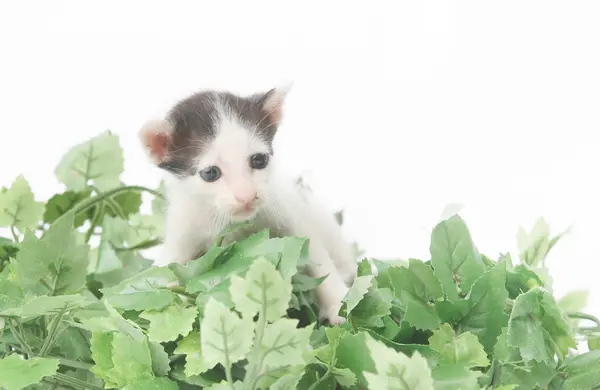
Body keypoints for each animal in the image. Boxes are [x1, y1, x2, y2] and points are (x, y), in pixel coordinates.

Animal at [139, 84, 356, 324]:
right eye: (210, 173)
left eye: (259, 160)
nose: (247, 196)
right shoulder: (183, 233)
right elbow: (162, 272)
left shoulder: (289, 216)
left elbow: (317, 259)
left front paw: (338, 305)